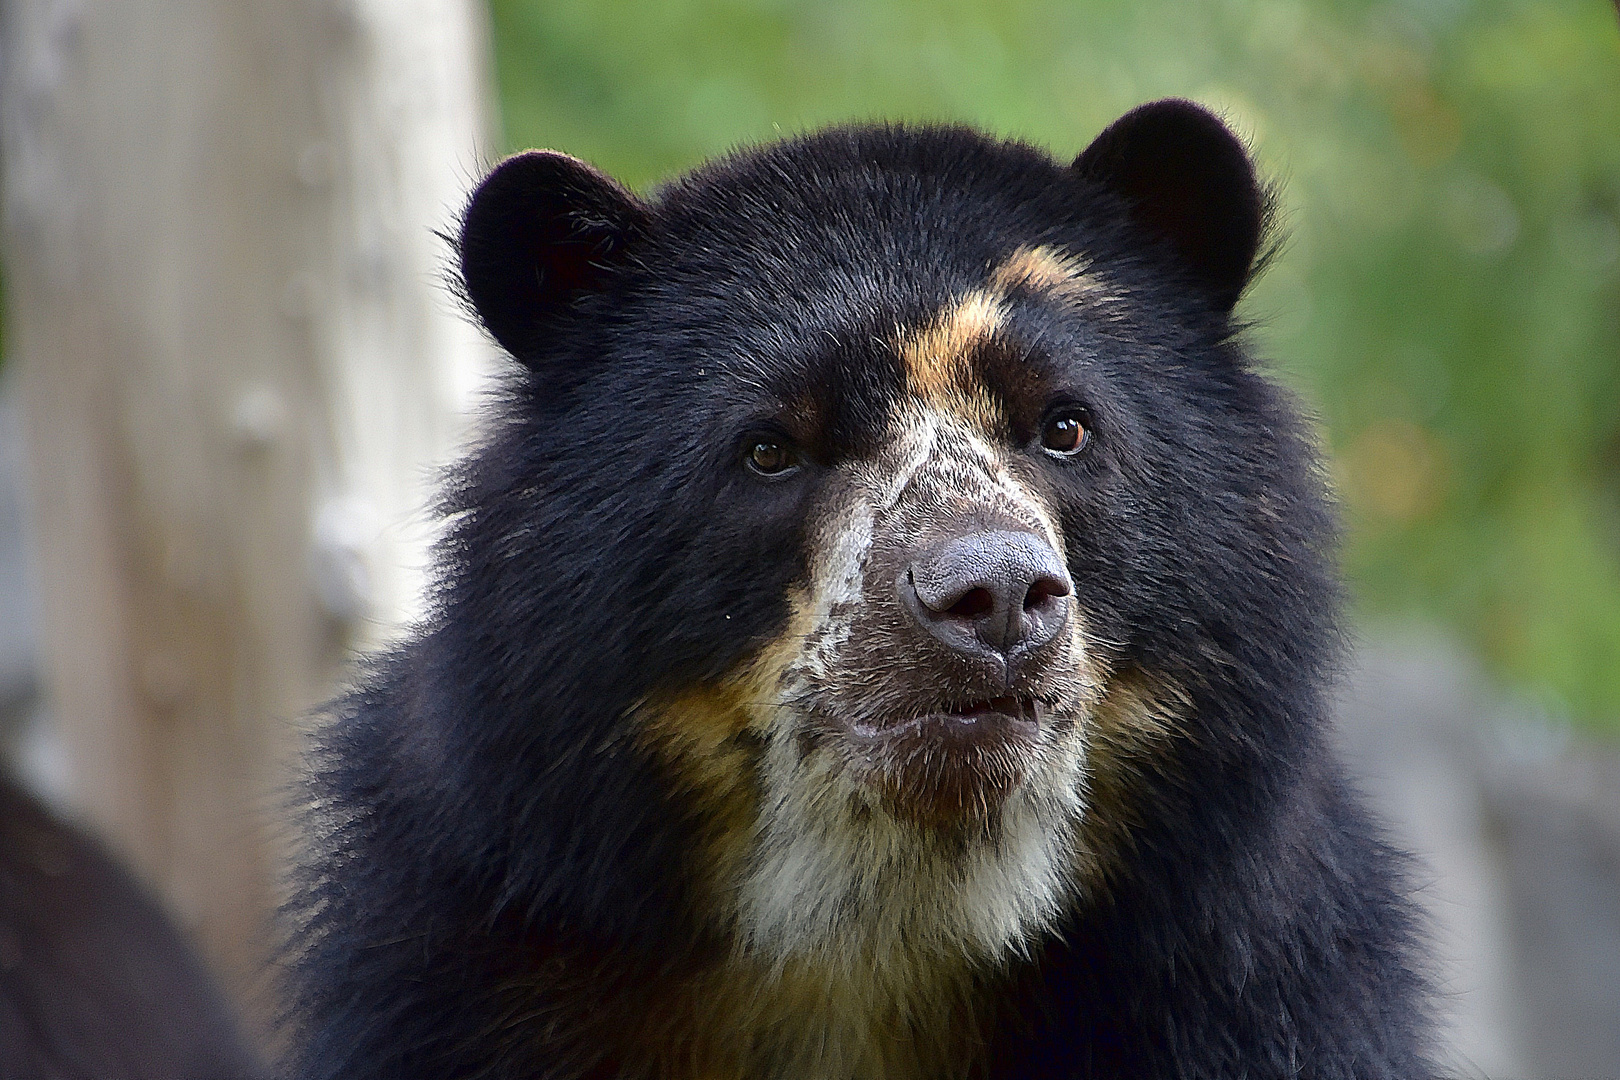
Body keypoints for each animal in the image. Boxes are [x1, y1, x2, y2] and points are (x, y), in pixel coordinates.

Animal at [288, 101, 1432, 1080]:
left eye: (1065, 427)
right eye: (770, 450)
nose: (997, 595)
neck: (874, 940)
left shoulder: (1241, 981)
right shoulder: (459, 964)